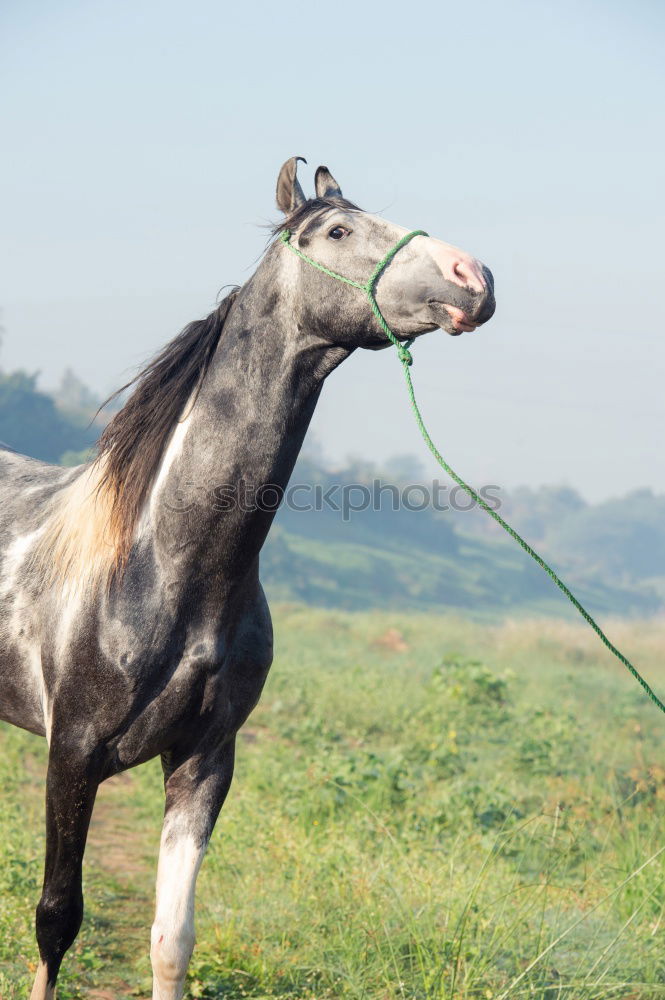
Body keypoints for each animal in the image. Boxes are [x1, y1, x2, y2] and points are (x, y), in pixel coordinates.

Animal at [0, 160, 492, 996]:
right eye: (337, 230)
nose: (475, 277)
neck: (166, 566)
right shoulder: (71, 755)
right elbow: (56, 920)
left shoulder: (204, 762)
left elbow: (171, 939)